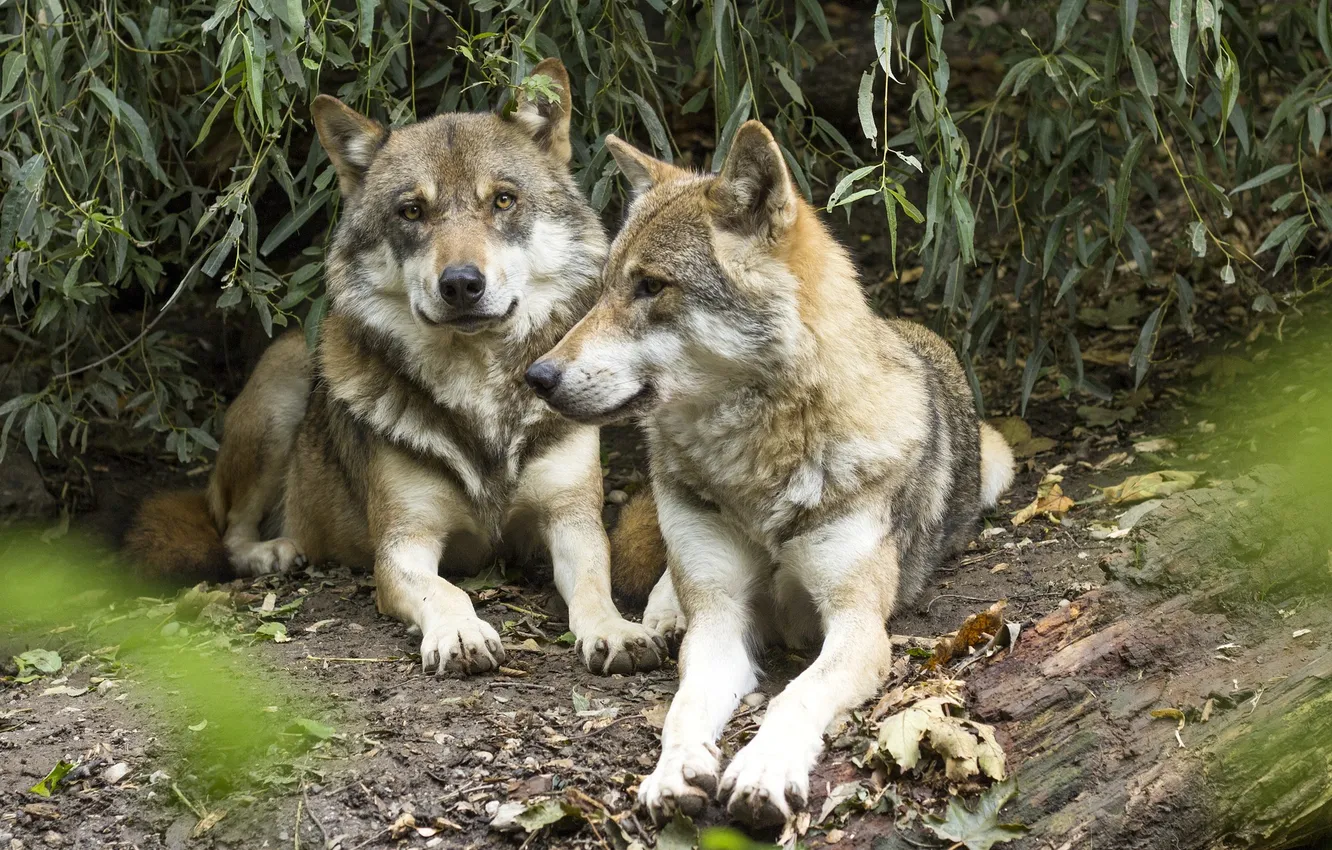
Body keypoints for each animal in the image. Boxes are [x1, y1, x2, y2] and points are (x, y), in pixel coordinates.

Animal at [126, 59, 667, 677]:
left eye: (503, 201)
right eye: (412, 211)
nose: (461, 284)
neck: (479, 390)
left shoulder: (573, 523)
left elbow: (596, 588)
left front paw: (616, 632)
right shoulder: (403, 545)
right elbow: (447, 591)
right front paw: (461, 634)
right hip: (281, 394)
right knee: (229, 532)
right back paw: (274, 552)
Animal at [525, 120, 1016, 825]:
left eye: (651, 286)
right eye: (608, 285)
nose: (536, 376)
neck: (756, 469)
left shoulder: (858, 626)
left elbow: (796, 696)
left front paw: (762, 769)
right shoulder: (722, 620)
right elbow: (684, 708)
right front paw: (672, 772)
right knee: (671, 586)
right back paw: (663, 615)